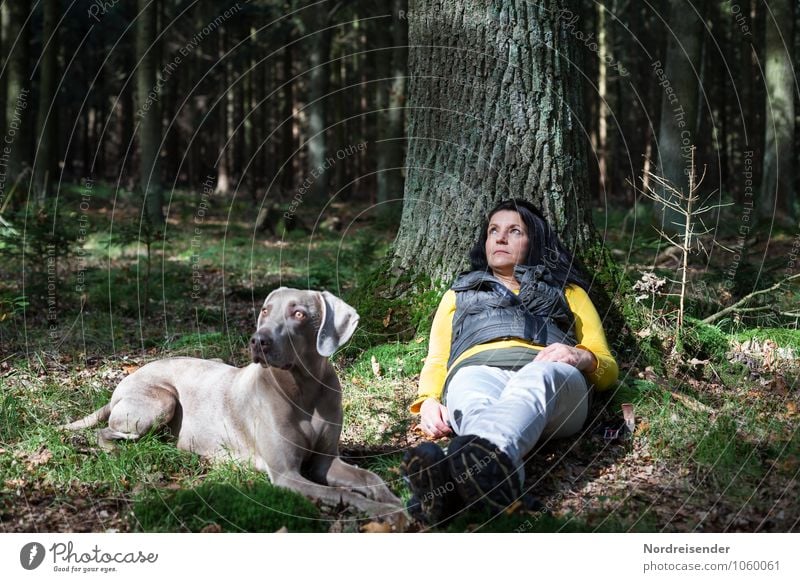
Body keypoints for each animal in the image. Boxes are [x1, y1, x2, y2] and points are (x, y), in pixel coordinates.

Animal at [61, 290, 406, 524]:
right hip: (162, 400)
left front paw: (393, 498)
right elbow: (342, 493)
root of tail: (121, 385)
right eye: (265, 310)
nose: (258, 340)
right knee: (107, 434)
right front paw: (385, 510)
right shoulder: (285, 475)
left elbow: (369, 478)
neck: (303, 391)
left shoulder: (324, 461)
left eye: (299, 314)